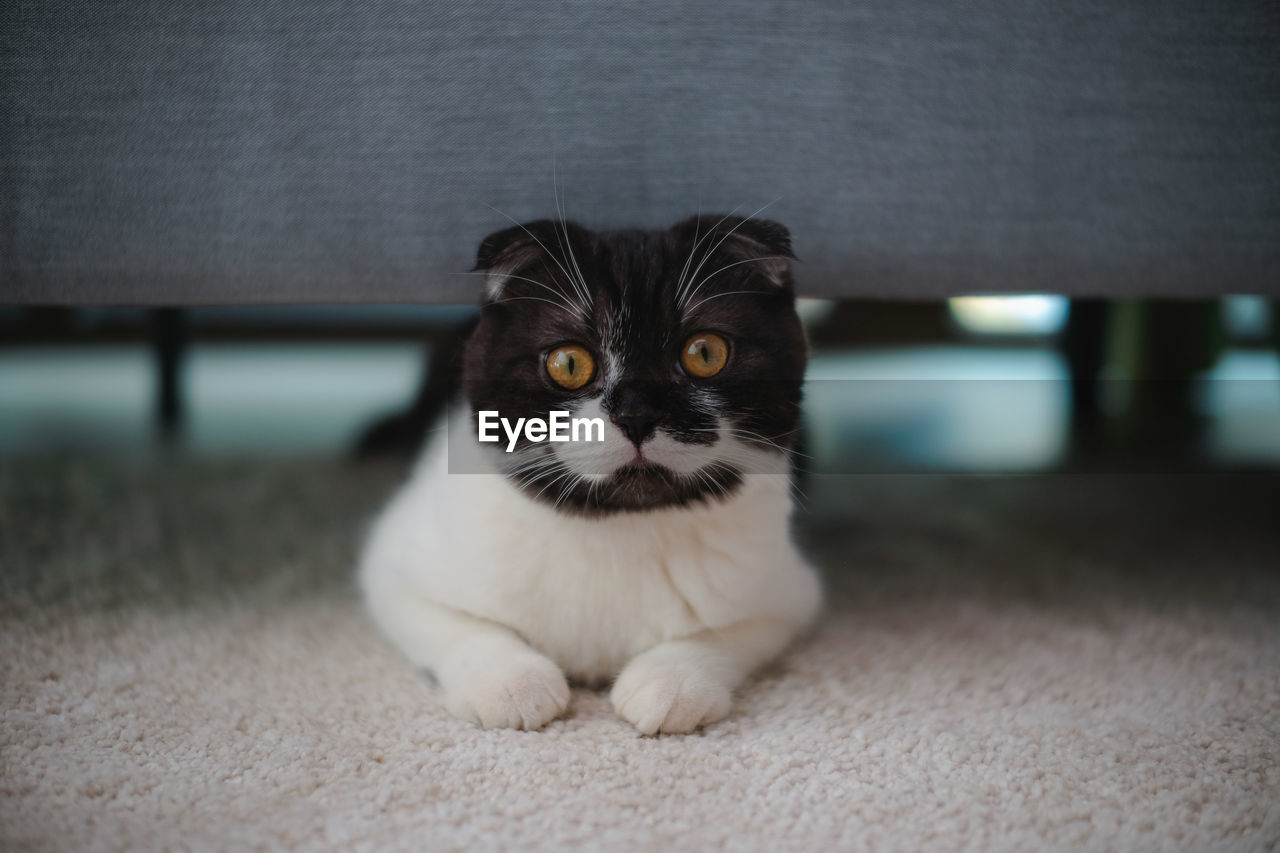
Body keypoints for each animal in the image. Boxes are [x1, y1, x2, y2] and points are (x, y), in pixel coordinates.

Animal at [358, 212, 819, 732]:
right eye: (568, 363)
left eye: (705, 354)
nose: (637, 416)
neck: (616, 528)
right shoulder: (394, 566)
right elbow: (463, 627)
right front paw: (512, 683)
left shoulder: (789, 592)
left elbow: (726, 634)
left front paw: (671, 682)